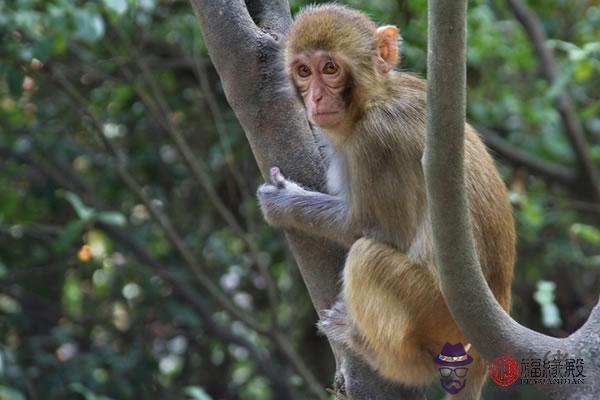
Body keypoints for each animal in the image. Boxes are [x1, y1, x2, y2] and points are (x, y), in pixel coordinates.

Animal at [255, 3, 512, 400]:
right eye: (303, 71)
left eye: (330, 68)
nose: (316, 99)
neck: (375, 98)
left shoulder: (375, 141)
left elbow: (372, 228)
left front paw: (283, 203)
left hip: (433, 311)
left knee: (366, 256)